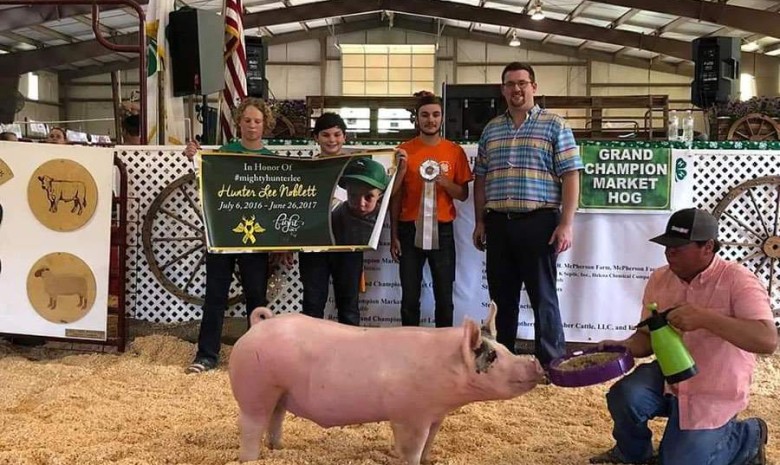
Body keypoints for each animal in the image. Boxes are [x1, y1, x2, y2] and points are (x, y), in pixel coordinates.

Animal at [225, 302, 544, 462]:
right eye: (492, 356)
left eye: (504, 347)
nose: (536, 363)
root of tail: (260, 324)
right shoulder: (410, 415)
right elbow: (412, 447)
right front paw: (408, 460)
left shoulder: (435, 416)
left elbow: (429, 444)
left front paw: (428, 459)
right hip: (255, 389)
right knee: (250, 426)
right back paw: (251, 459)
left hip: (278, 392)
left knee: (275, 418)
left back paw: (278, 449)